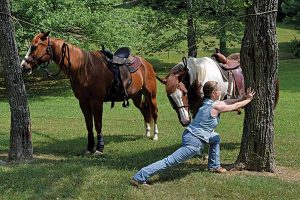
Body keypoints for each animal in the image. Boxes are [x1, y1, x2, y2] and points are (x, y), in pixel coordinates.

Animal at [19, 31, 158, 154]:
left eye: (34, 47)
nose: (23, 66)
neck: (83, 68)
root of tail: (146, 64)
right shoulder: (83, 102)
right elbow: (89, 125)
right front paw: (89, 148)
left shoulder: (97, 102)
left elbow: (98, 125)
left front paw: (99, 148)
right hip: (136, 97)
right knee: (145, 111)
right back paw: (147, 133)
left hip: (151, 95)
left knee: (154, 113)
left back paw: (155, 135)